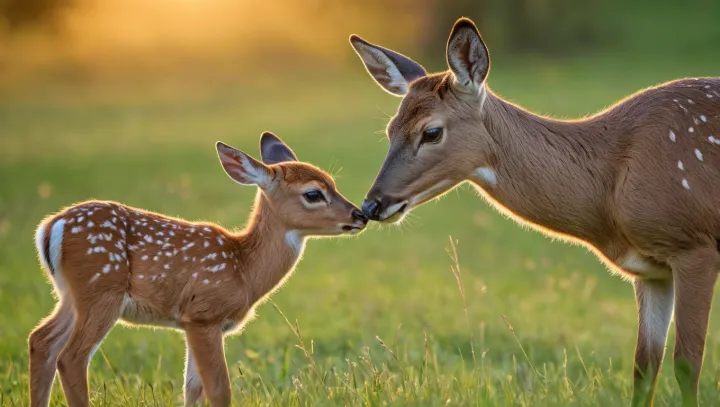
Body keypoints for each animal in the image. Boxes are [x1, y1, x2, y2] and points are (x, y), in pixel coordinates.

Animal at [28, 132, 368, 407]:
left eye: (333, 183)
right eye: (313, 193)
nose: (361, 215)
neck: (243, 269)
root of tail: (50, 227)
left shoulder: (193, 323)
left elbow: (192, 390)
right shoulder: (204, 314)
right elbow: (219, 390)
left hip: (71, 296)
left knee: (41, 341)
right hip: (101, 290)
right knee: (71, 357)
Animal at [349, 16, 720, 407]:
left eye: (431, 132)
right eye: (390, 129)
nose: (371, 205)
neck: (609, 192)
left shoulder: (693, 247)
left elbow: (687, 364)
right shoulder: (650, 272)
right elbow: (643, 368)